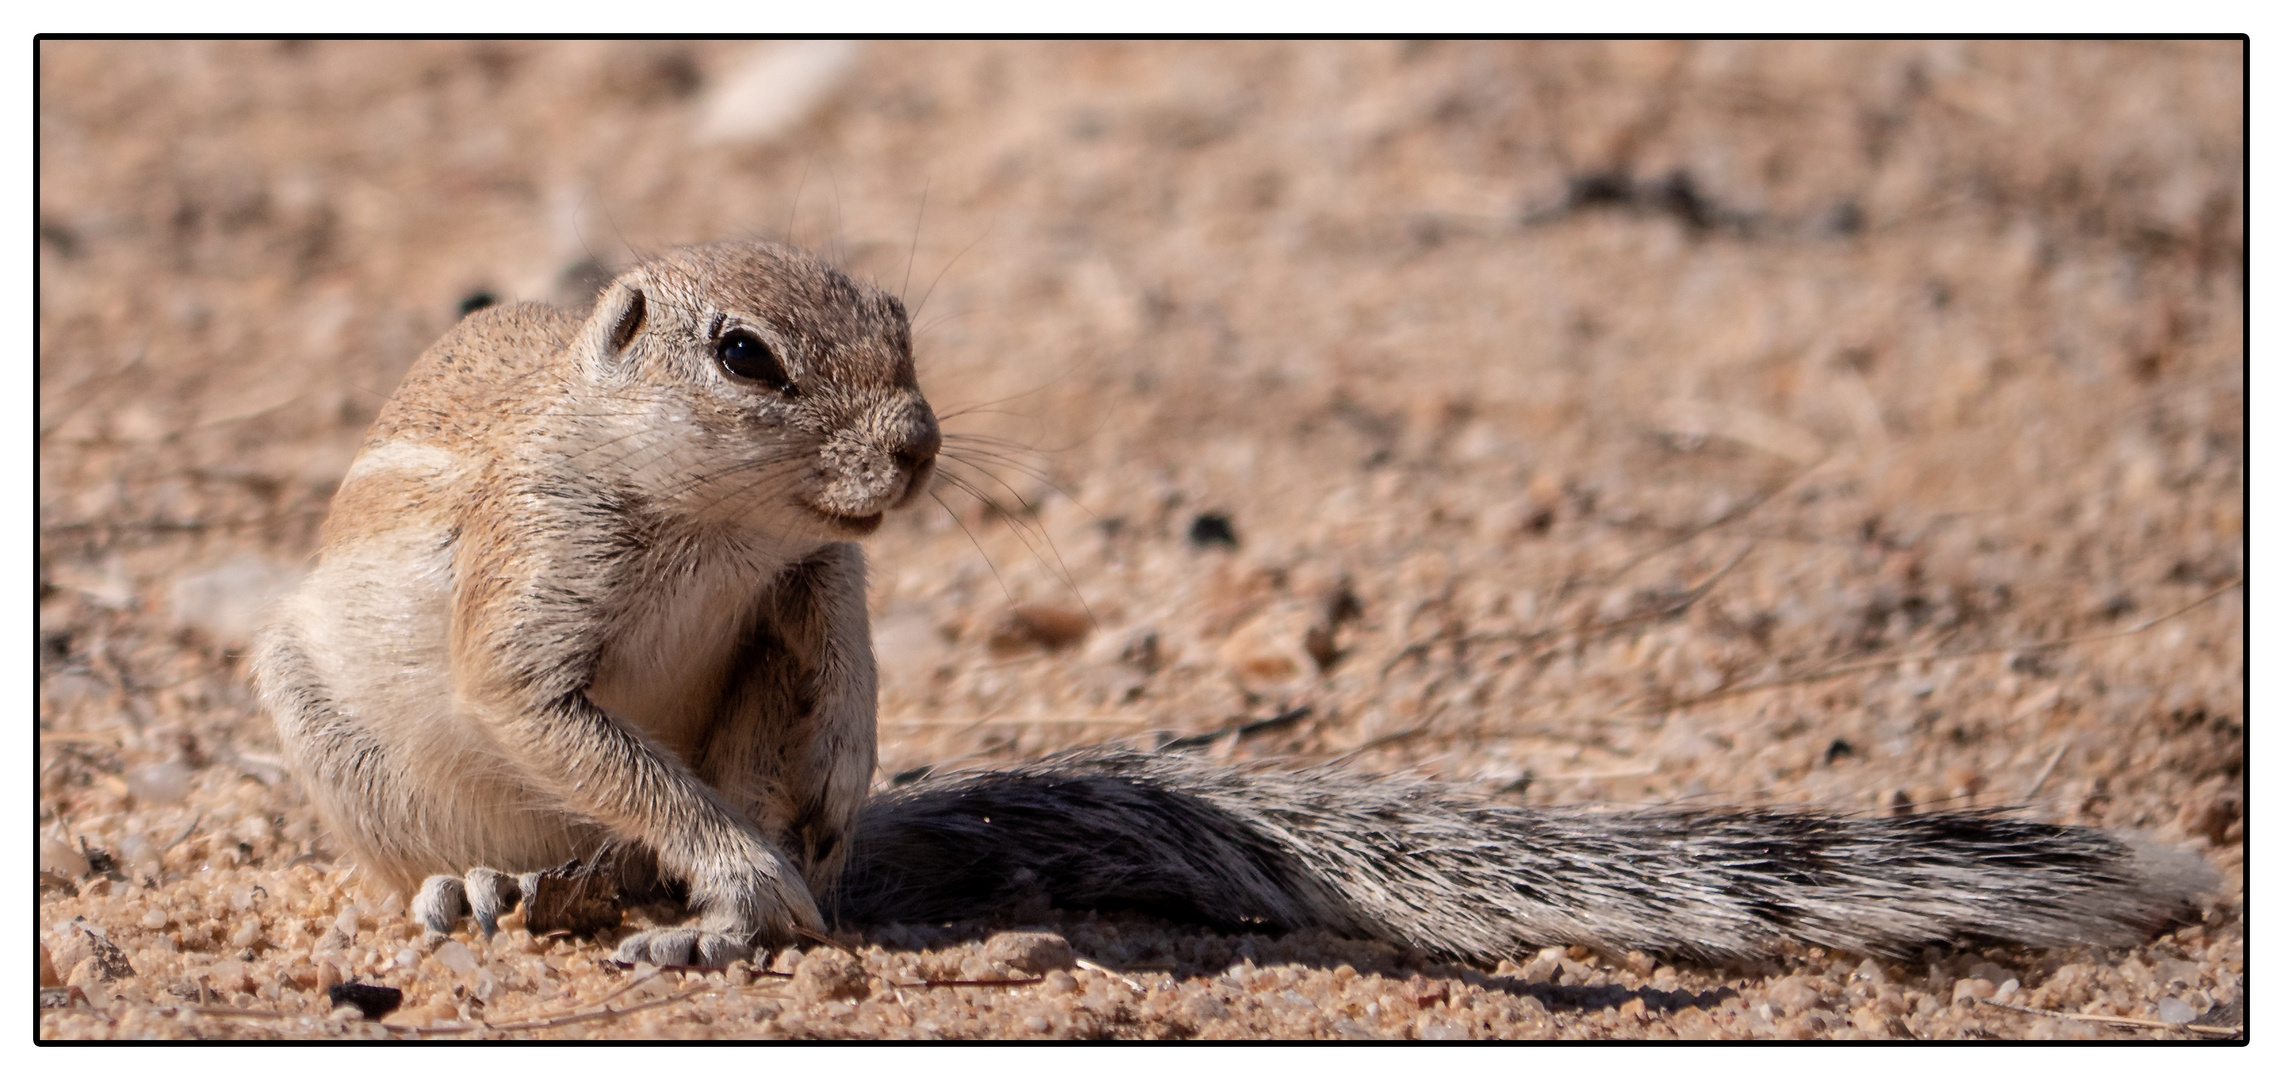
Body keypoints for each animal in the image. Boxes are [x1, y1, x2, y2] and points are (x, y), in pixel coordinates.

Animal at [254, 239, 2209, 963]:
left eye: (898, 319)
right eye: (744, 355)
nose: (917, 447)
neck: (715, 519)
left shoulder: (814, 583)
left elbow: (818, 690)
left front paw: (799, 837)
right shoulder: (539, 587)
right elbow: (552, 712)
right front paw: (736, 886)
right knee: (523, 838)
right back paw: (512, 885)